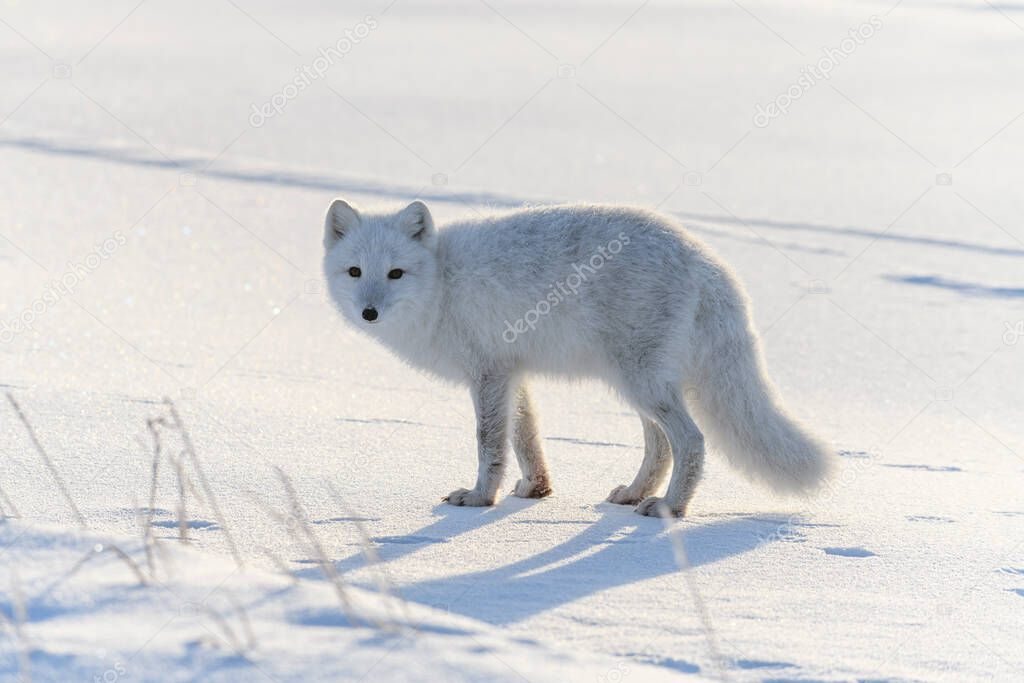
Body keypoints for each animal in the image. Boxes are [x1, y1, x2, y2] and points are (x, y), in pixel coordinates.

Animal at [323, 200, 835, 516]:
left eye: (396, 273)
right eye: (355, 271)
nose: (369, 313)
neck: (442, 282)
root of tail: (705, 260)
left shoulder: (488, 374)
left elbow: (489, 444)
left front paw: (479, 498)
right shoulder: (514, 375)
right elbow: (526, 438)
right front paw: (535, 491)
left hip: (640, 382)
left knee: (691, 441)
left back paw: (669, 508)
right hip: (638, 384)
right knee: (660, 445)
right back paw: (633, 494)